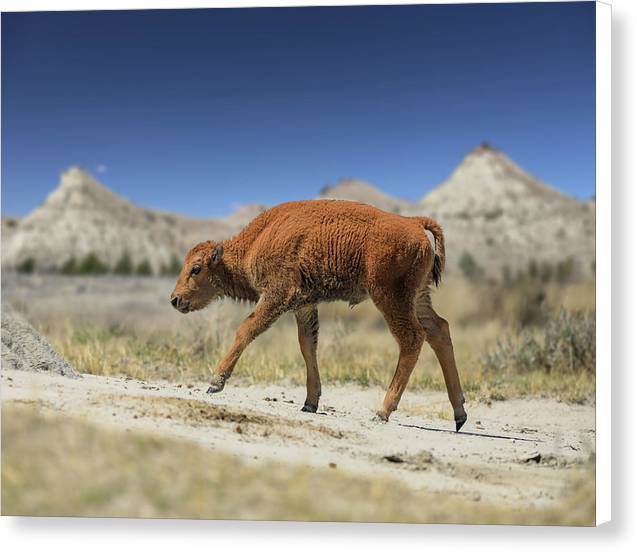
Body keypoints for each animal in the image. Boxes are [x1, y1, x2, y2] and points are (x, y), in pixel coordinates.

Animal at [169, 199, 468, 432]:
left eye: (196, 269)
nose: (175, 299)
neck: (257, 240)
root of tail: (414, 223)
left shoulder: (278, 295)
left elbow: (247, 329)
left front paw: (215, 383)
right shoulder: (304, 305)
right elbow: (307, 346)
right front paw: (310, 403)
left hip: (390, 297)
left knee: (412, 338)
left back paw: (382, 411)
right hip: (418, 297)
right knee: (439, 330)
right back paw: (459, 414)